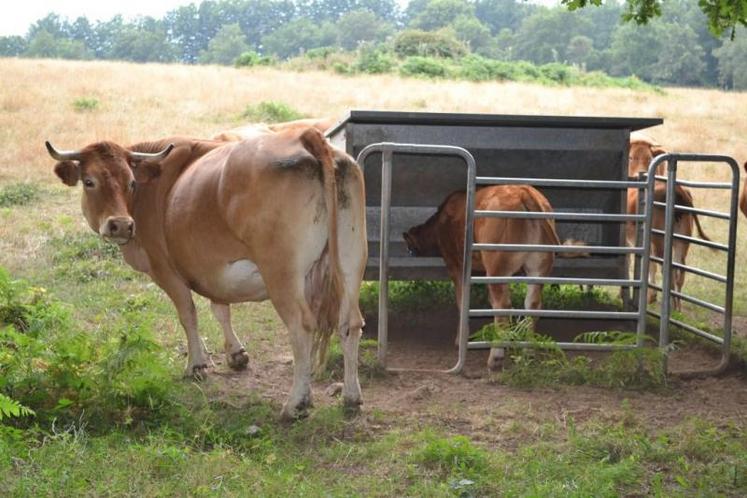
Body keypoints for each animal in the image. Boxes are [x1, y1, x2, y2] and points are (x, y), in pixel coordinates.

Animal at [45, 127, 366, 420]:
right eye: (90, 181)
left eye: (131, 182)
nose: (121, 225)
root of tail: (305, 135)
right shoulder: (212, 269)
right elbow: (220, 308)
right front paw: (236, 355)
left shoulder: (164, 269)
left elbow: (188, 313)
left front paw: (196, 364)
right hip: (351, 259)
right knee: (350, 323)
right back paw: (351, 397)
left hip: (281, 272)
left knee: (301, 326)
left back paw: (296, 404)